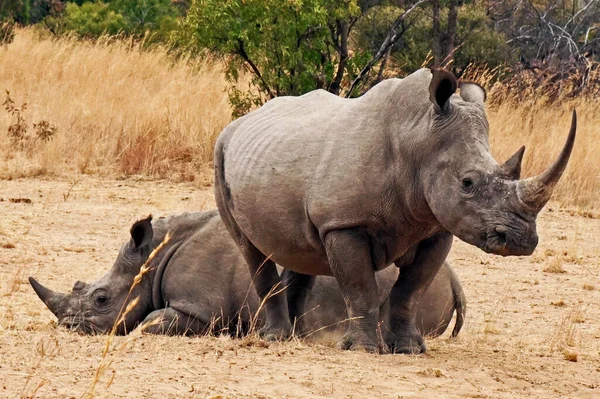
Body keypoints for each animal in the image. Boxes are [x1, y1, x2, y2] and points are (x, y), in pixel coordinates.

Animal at [28, 211, 466, 340]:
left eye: (101, 299)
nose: (68, 327)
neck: (151, 260)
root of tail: (455, 279)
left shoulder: (201, 310)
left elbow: (152, 320)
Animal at [216, 68, 576, 354]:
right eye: (467, 182)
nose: (520, 241)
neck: (417, 139)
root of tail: (241, 123)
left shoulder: (437, 228)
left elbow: (410, 291)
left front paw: (409, 349)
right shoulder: (344, 223)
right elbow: (361, 289)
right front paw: (362, 349)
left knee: (300, 253)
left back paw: (301, 338)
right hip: (221, 152)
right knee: (251, 250)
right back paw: (275, 338)